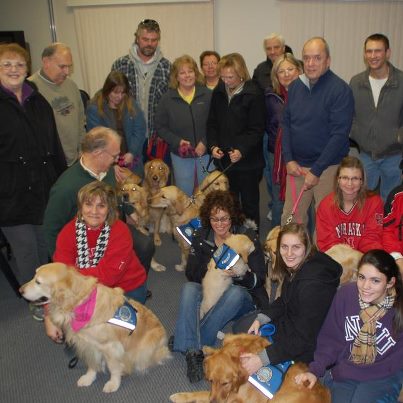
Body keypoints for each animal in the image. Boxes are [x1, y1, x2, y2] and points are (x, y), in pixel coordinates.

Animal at [20, 264, 170, 392]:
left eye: (38, 282)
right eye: (34, 276)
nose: (20, 290)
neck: (80, 303)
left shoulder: (111, 346)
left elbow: (114, 367)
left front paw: (113, 383)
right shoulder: (88, 345)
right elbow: (92, 364)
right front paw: (89, 377)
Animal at [170, 334, 332, 403]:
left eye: (225, 383)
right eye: (210, 381)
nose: (214, 402)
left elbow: (202, 393)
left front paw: (180, 396)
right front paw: (208, 349)